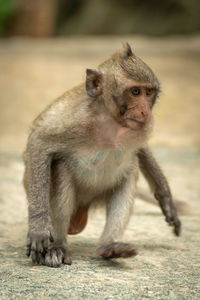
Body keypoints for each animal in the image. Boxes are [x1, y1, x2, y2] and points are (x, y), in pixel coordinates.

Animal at [23, 42, 181, 268]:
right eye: (135, 91)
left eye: (149, 92)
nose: (145, 112)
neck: (110, 122)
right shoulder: (76, 120)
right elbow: (39, 143)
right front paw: (38, 227)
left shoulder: (138, 129)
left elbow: (141, 150)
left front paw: (166, 198)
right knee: (62, 168)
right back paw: (58, 246)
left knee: (130, 171)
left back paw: (110, 245)